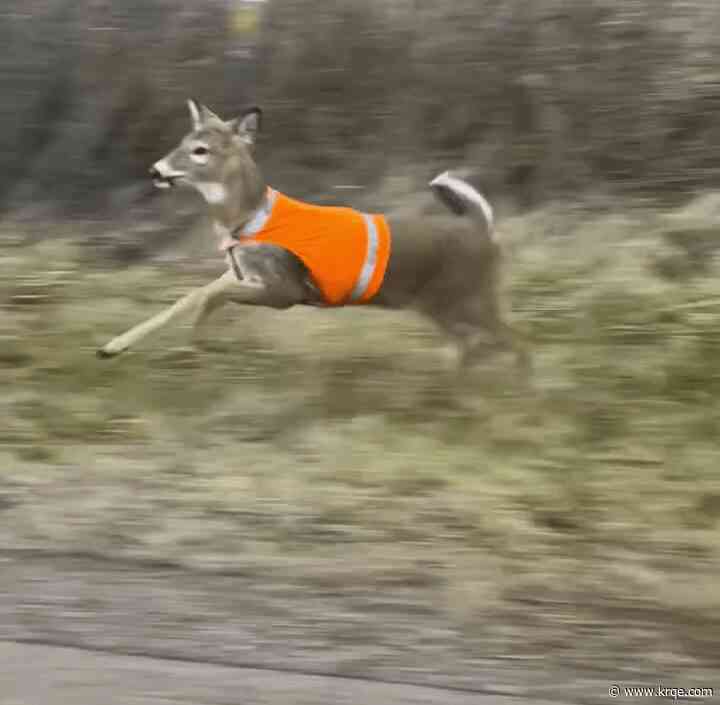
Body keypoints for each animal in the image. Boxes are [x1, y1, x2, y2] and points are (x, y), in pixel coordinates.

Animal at [97, 100, 529, 381]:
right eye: (182, 141)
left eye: (200, 150)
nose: (155, 170)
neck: (247, 220)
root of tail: (480, 228)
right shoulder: (241, 274)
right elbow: (190, 298)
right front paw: (115, 347)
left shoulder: (286, 289)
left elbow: (208, 296)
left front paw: (193, 344)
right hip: (441, 307)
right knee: (476, 344)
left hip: (470, 299)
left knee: (514, 341)